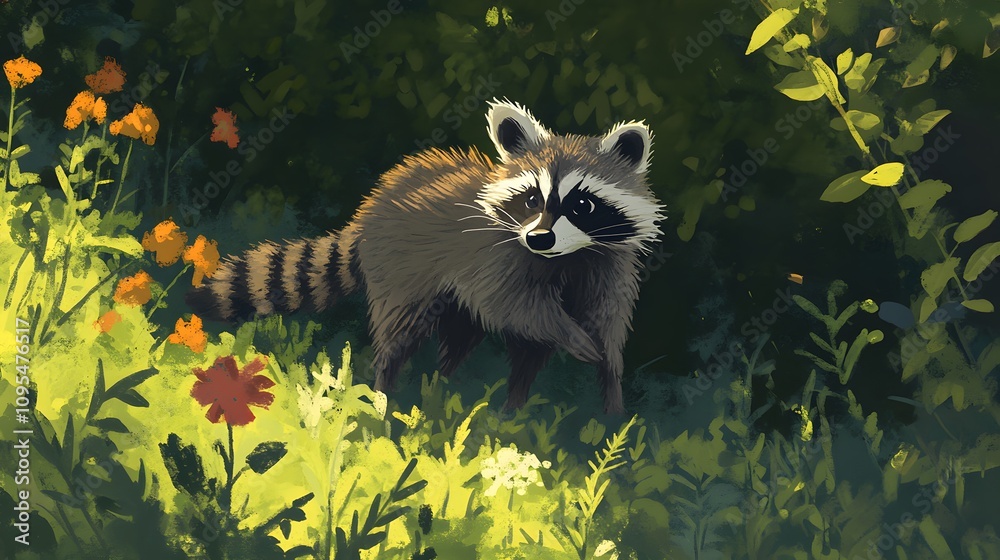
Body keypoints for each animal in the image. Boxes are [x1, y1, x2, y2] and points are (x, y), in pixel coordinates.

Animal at [186, 99, 664, 413]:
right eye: (531, 199)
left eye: (581, 205)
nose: (539, 238)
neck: (568, 255)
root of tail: (370, 208)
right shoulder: (497, 258)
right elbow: (521, 310)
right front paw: (575, 340)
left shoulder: (606, 264)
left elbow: (599, 328)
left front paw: (608, 403)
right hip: (401, 268)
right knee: (399, 333)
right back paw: (385, 395)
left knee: (460, 339)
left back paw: (447, 391)